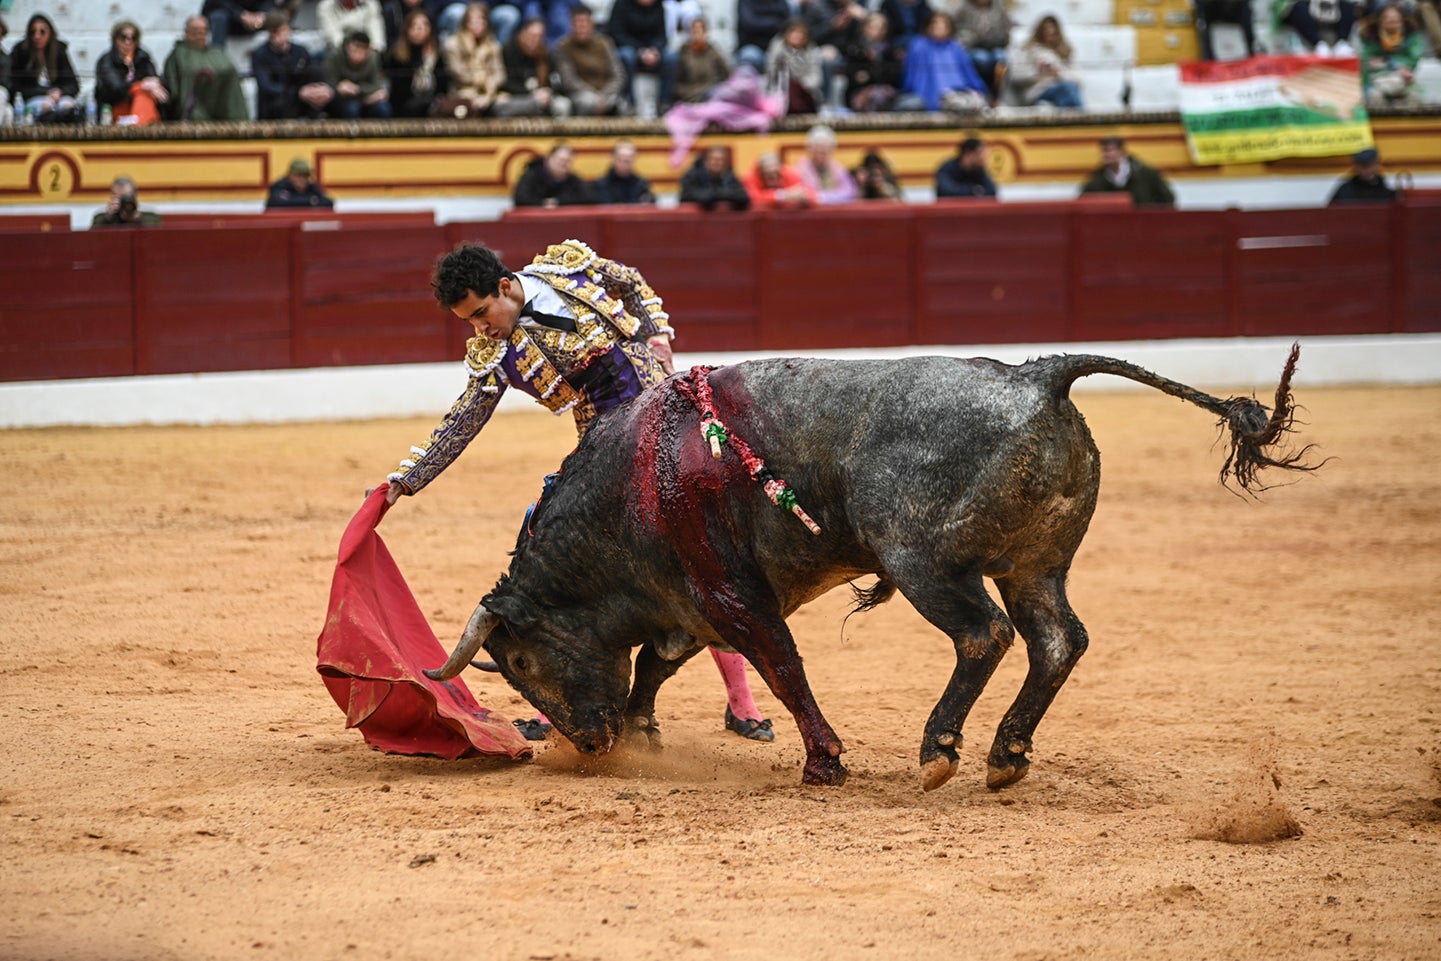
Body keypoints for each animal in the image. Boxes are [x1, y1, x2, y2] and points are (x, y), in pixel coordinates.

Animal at [420, 351, 1319, 789]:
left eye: (522, 659)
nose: (589, 743)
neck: (641, 478)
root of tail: (1037, 373)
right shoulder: (690, 601)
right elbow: (656, 661)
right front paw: (644, 732)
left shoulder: (729, 594)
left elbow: (778, 665)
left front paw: (823, 762)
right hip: (1036, 565)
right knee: (1057, 640)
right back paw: (1004, 754)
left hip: (922, 561)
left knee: (983, 634)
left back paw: (939, 747)